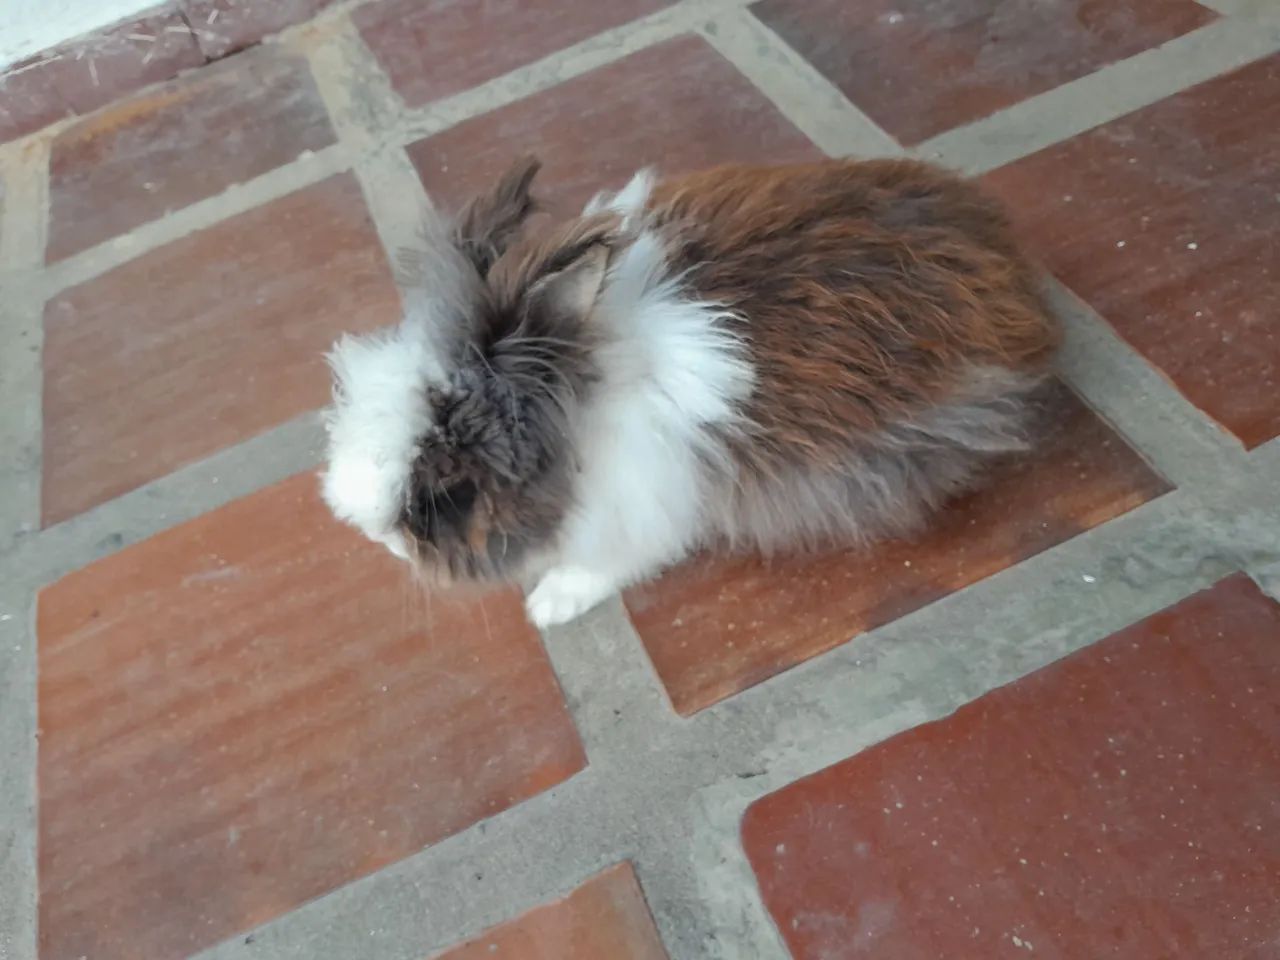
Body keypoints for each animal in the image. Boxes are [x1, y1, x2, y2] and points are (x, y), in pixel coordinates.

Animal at [321, 156, 1060, 628]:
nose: (382, 541)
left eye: (451, 491)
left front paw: (547, 608)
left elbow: (600, 568)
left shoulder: (637, 520)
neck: (579, 395)